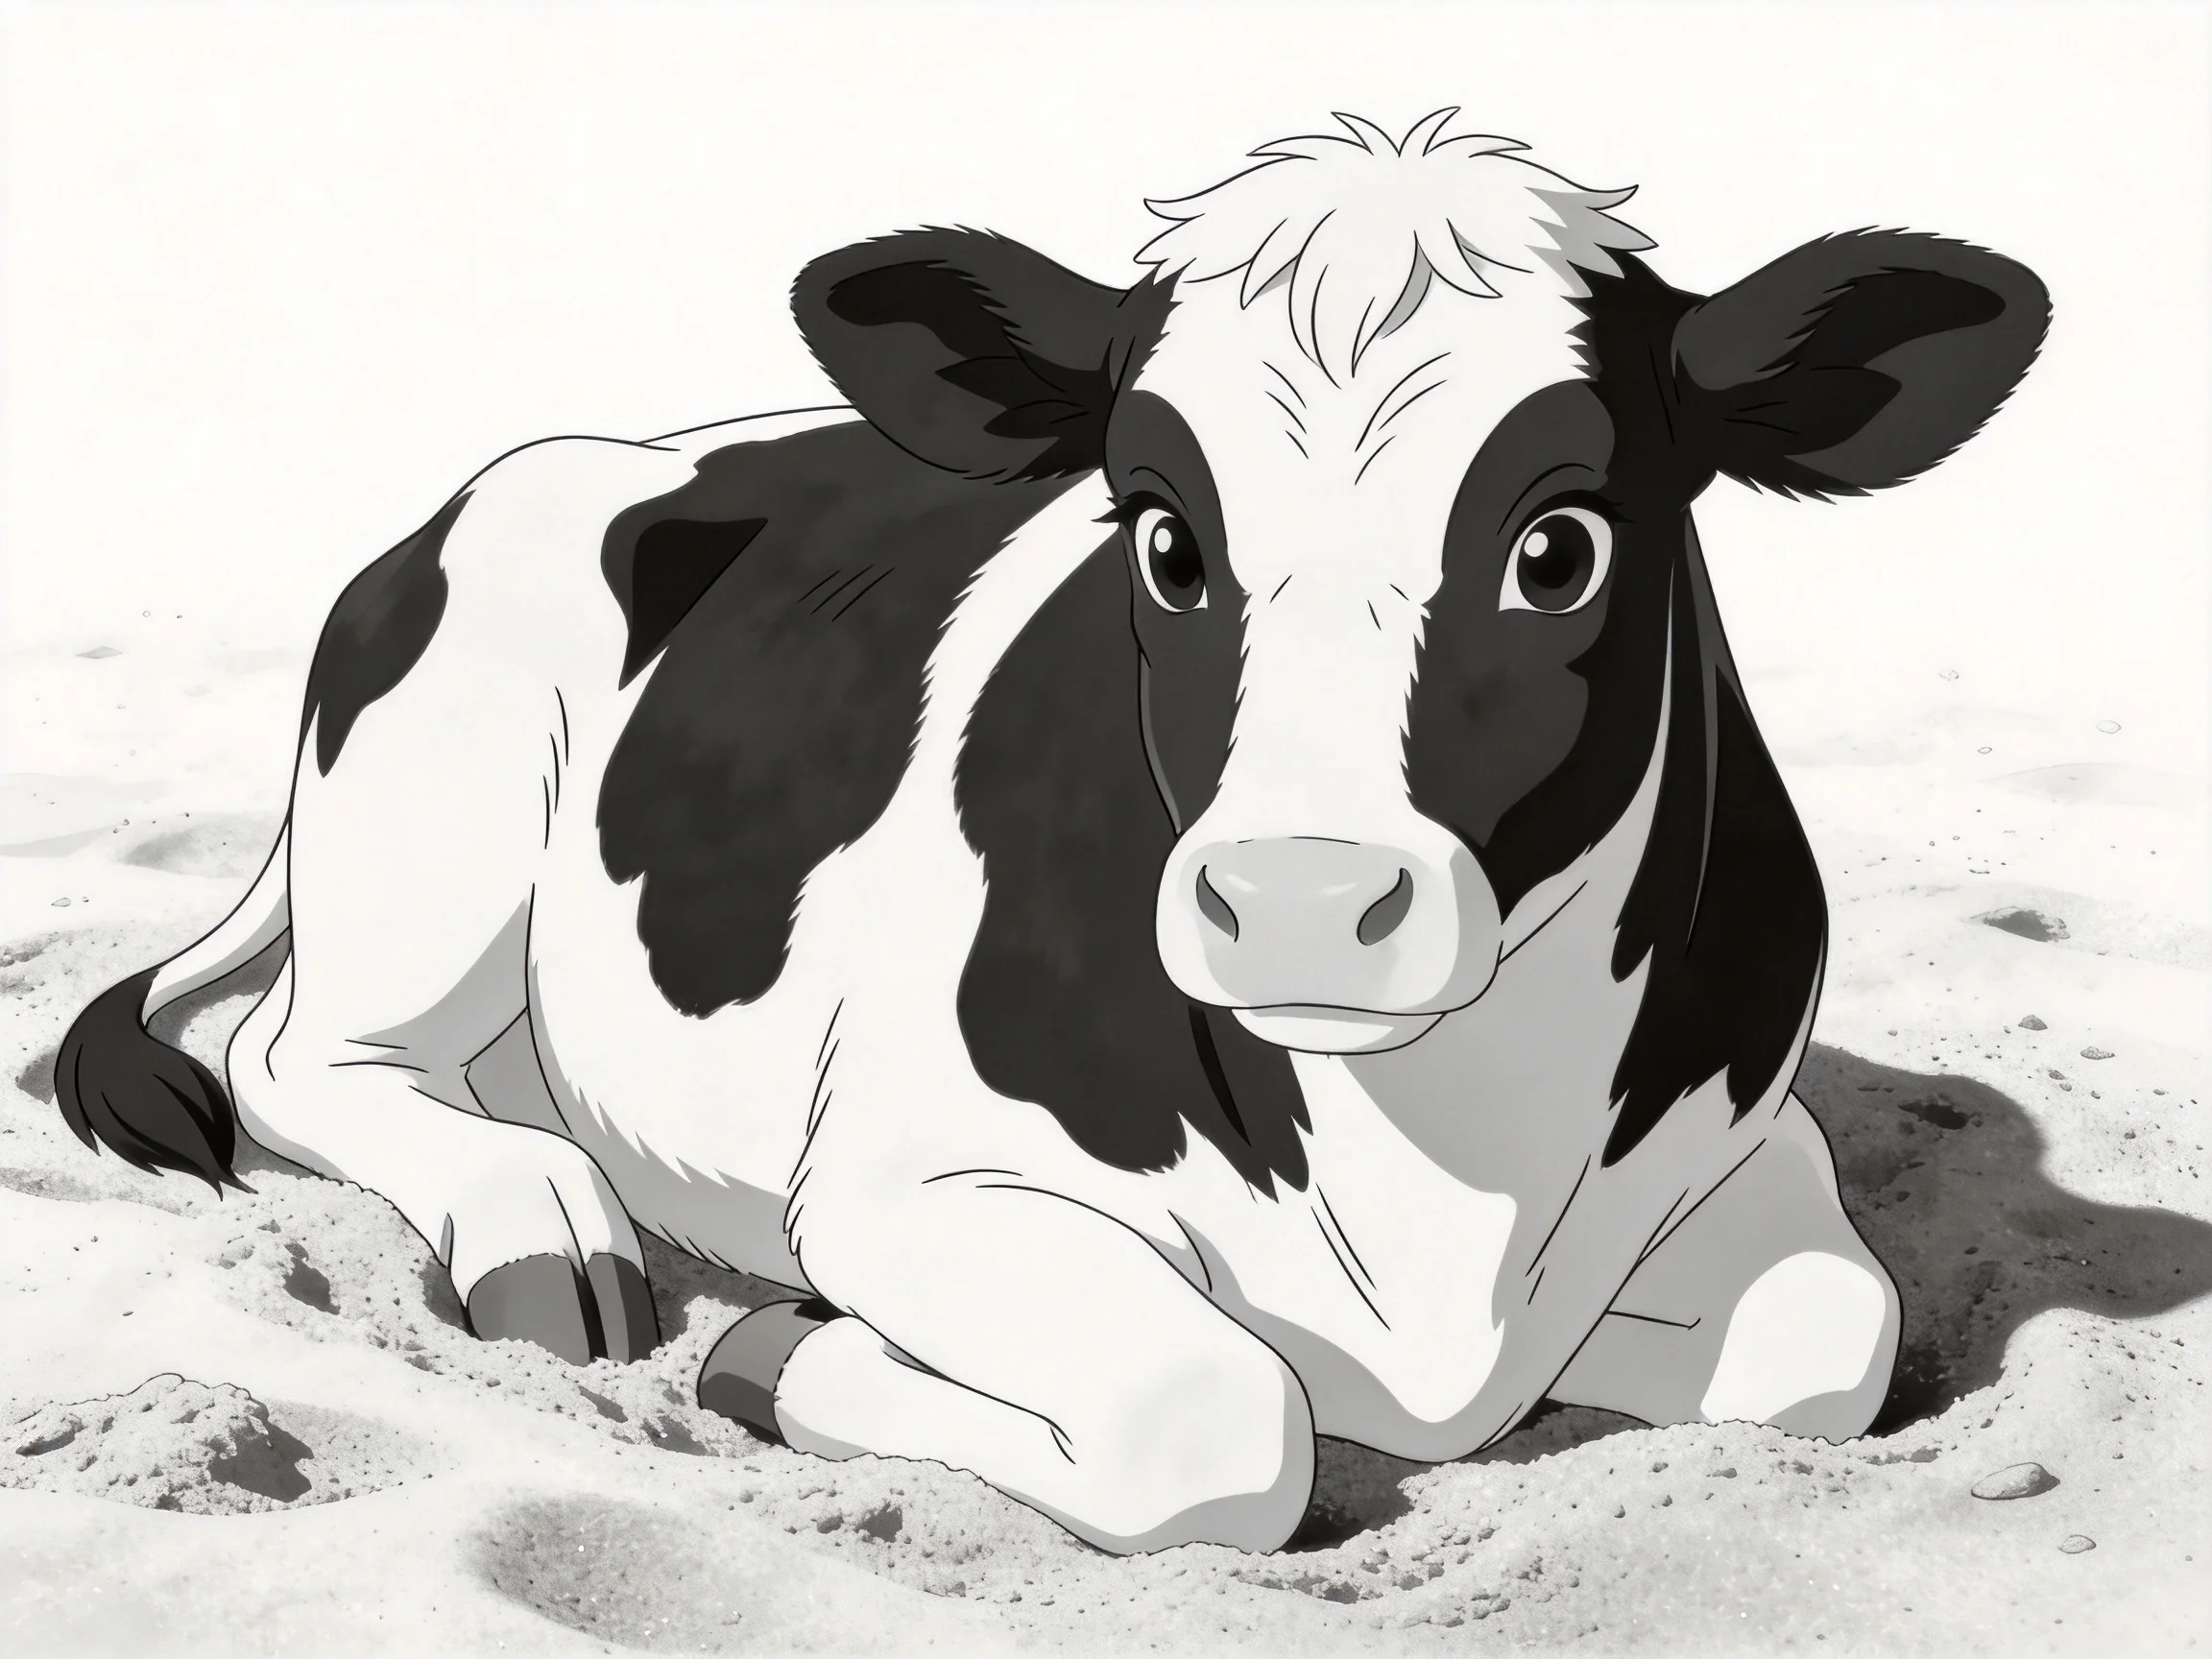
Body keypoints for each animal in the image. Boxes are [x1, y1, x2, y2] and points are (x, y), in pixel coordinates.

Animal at [56, 111, 2046, 1554]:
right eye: (1160, 533)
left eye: (1557, 542)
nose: (1297, 903)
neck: (1438, 1184)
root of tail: (542, 468)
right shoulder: (914, 1183)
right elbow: (1215, 1416)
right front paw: (780, 1349)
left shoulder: (1745, 1141)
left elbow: (1824, 1342)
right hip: (447, 800)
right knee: (295, 1051)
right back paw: (534, 1221)